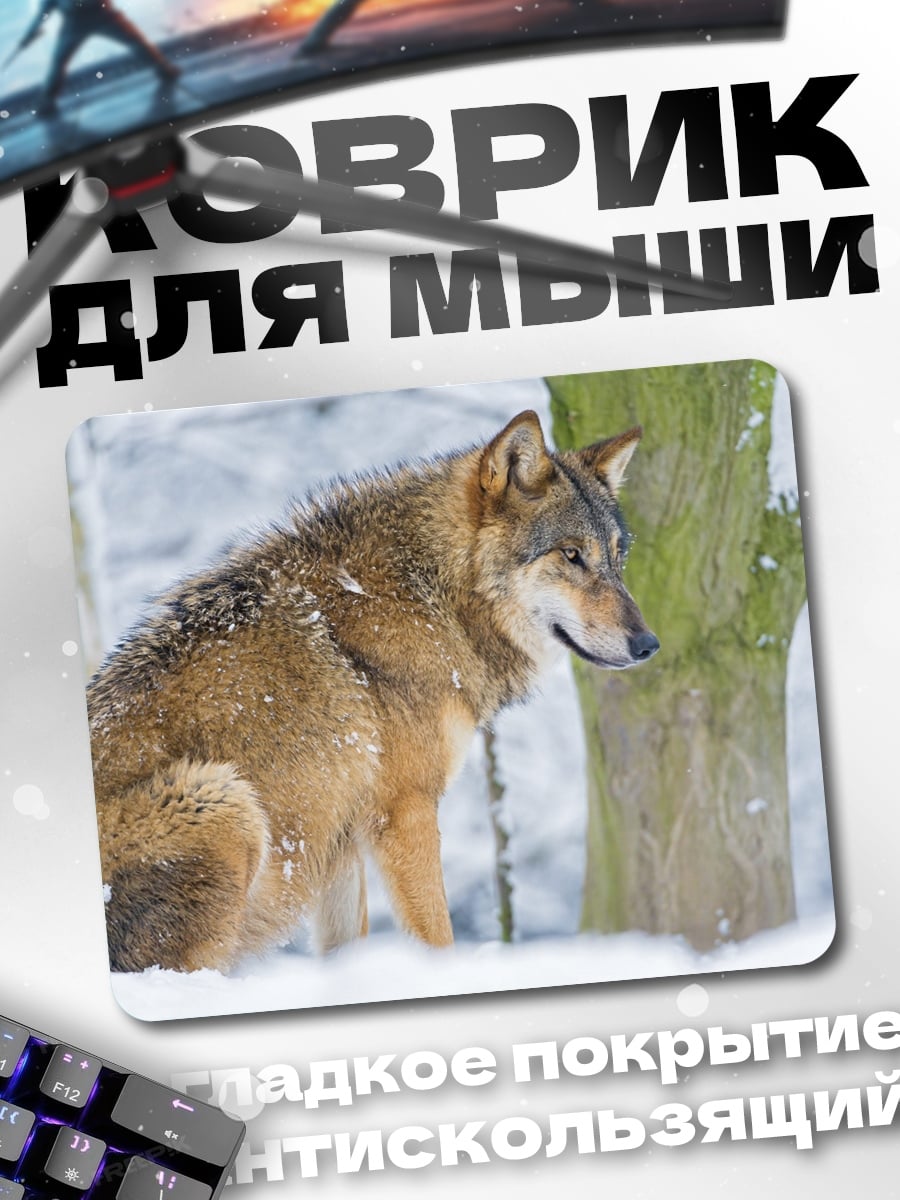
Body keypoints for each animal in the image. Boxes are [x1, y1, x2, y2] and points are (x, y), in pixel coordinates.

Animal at [88, 409, 659, 972]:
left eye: (617, 556)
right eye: (571, 555)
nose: (649, 644)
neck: (432, 594)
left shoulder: (340, 843)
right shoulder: (404, 811)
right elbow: (438, 939)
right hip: (223, 799)